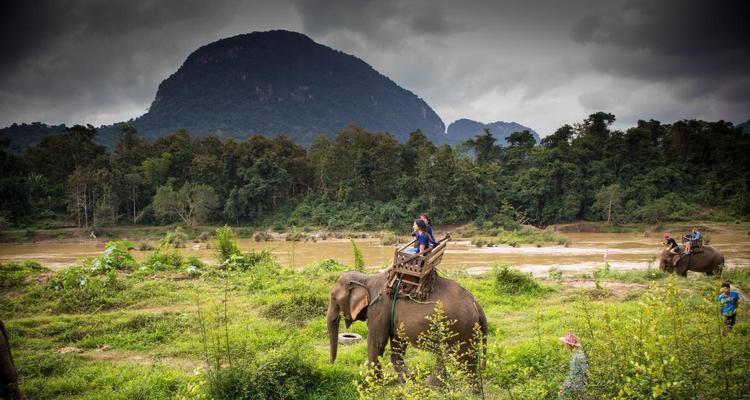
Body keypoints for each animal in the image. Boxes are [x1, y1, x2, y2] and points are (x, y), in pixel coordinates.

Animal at [328, 268, 490, 384]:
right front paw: (408, 380)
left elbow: (376, 343)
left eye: (334, 298)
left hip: (463, 327)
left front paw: (371, 384)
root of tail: (477, 305)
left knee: (464, 360)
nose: (331, 363)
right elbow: (397, 344)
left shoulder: (379, 308)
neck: (365, 278)